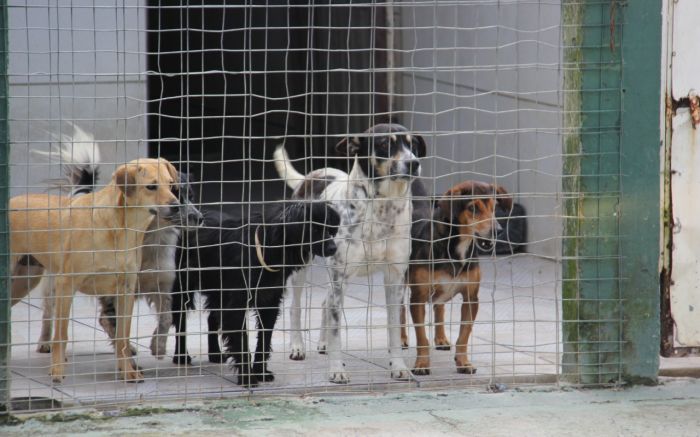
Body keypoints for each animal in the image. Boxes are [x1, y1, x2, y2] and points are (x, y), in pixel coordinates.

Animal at [10, 158, 180, 382]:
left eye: (171, 184)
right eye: (151, 186)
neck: (118, 227)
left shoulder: (125, 291)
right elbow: (61, 335)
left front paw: (127, 371)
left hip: (24, 280)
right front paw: (57, 371)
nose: (176, 207)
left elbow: (123, 337)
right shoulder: (66, 285)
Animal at [170, 201, 340, 384]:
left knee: (212, 318)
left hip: (218, 291)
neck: (268, 248)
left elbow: (264, 341)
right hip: (183, 288)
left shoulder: (269, 303)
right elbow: (242, 341)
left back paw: (214, 354)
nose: (334, 248)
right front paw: (247, 378)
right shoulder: (237, 306)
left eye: (329, 229)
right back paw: (181, 356)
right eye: (314, 229)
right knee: (180, 321)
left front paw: (260, 372)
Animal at [274, 122, 426, 382]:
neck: (381, 207)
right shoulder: (340, 275)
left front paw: (398, 366)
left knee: (325, 303)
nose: (413, 163)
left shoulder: (395, 277)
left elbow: (395, 328)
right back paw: (297, 346)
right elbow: (337, 330)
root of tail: (311, 177)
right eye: (384, 144)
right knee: (296, 306)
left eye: (412, 144)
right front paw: (336, 370)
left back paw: (322, 343)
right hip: (303, 264)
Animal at [402, 179, 512, 372]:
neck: (456, 248)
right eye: (472, 208)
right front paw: (422, 364)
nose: (497, 230)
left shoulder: (471, 298)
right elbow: (421, 337)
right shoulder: (418, 298)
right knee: (398, 308)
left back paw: (440, 339)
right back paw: (401, 339)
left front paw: (463, 362)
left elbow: (464, 334)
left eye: (494, 207)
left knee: (439, 307)